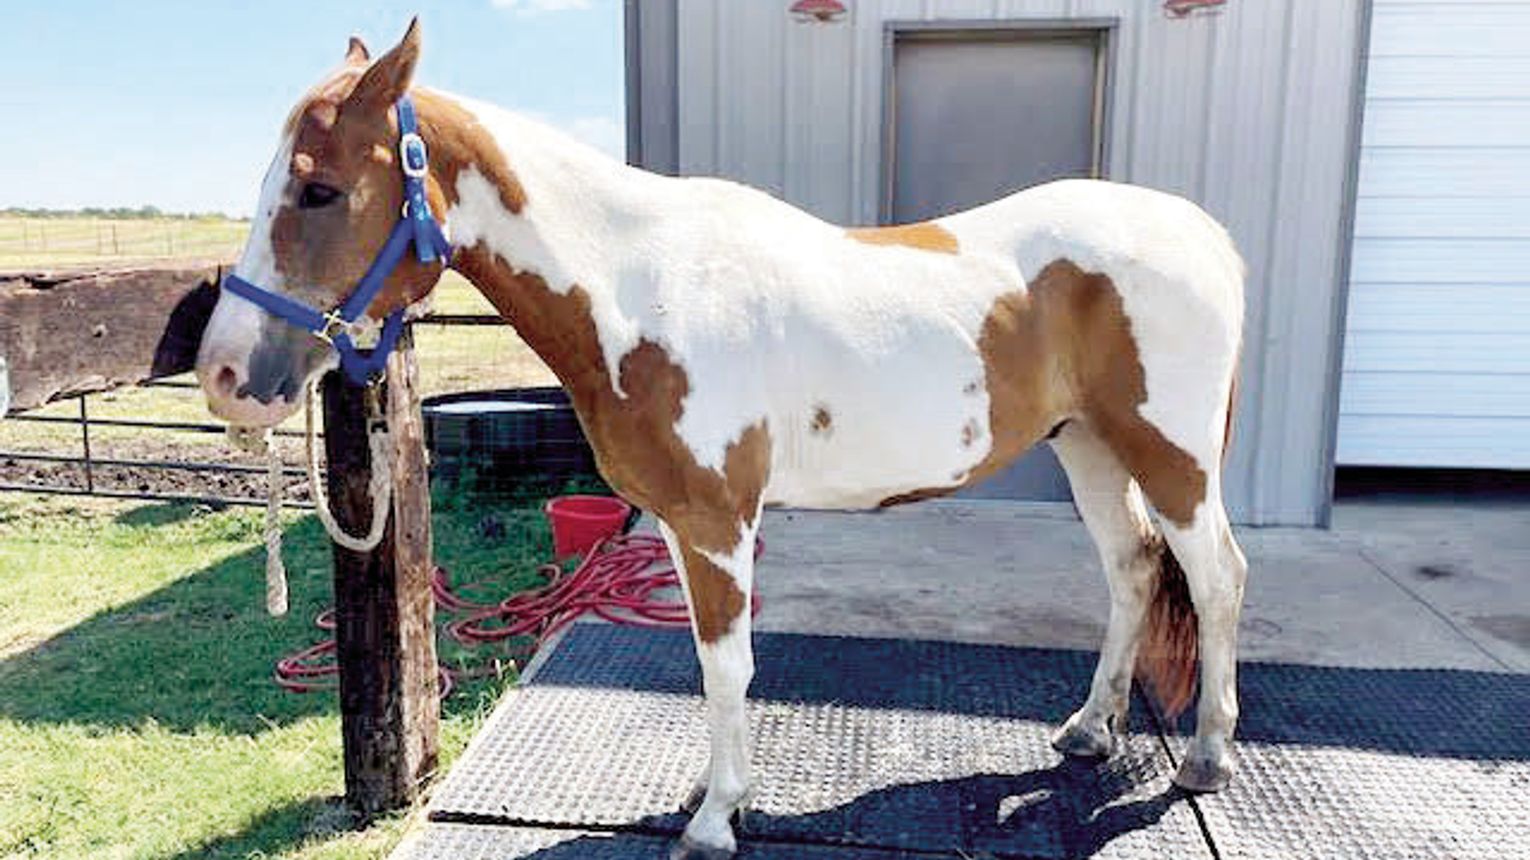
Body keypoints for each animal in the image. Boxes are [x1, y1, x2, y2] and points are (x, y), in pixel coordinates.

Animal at [195, 22, 1248, 859]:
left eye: (320, 191)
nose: (224, 373)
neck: (636, 289)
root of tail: (1208, 235)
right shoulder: (675, 521)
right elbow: (708, 668)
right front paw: (710, 792)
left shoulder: (718, 521)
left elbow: (728, 665)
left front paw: (713, 823)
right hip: (1089, 446)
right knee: (1133, 571)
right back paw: (1089, 731)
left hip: (1172, 456)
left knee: (1215, 577)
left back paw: (1204, 756)